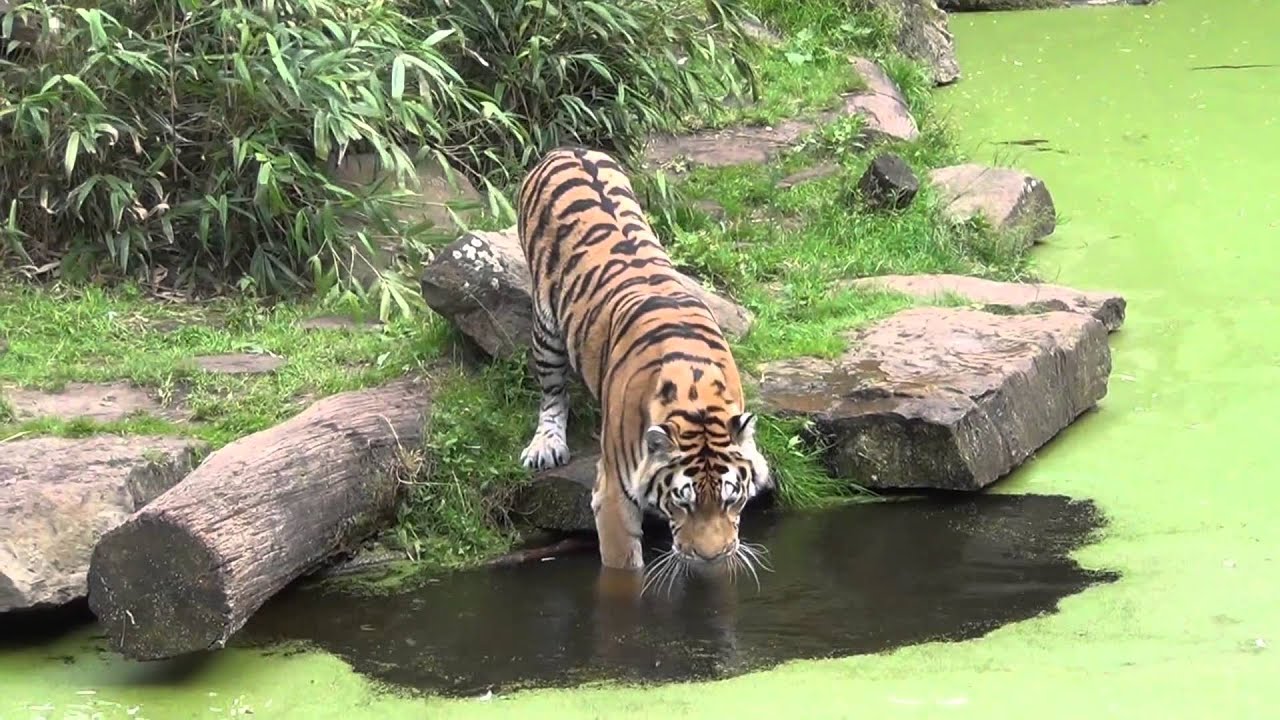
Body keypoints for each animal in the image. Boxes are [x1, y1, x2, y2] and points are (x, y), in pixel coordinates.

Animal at [516, 145, 773, 573]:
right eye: (682, 502)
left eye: (731, 498)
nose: (710, 556)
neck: (696, 394)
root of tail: (567, 148)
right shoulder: (613, 497)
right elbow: (623, 569)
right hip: (545, 325)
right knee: (552, 392)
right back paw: (547, 445)